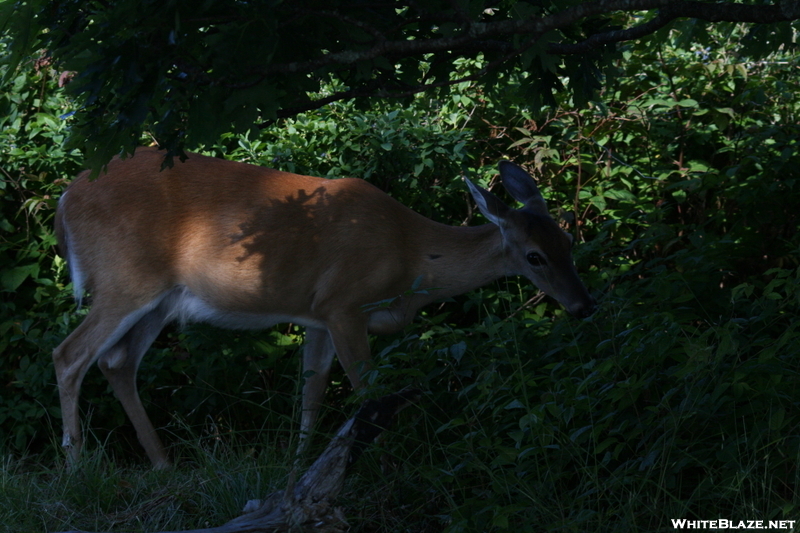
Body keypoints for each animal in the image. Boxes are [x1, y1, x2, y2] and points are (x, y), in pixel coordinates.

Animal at [53, 145, 592, 466]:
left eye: (569, 241)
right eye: (535, 256)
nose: (583, 305)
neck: (410, 255)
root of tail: (64, 199)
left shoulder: (315, 315)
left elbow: (310, 396)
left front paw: (296, 469)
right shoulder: (343, 304)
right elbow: (369, 391)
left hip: (162, 299)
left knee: (117, 361)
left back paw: (163, 464)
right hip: (126, 278)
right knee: (69, 354)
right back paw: (76, 466)